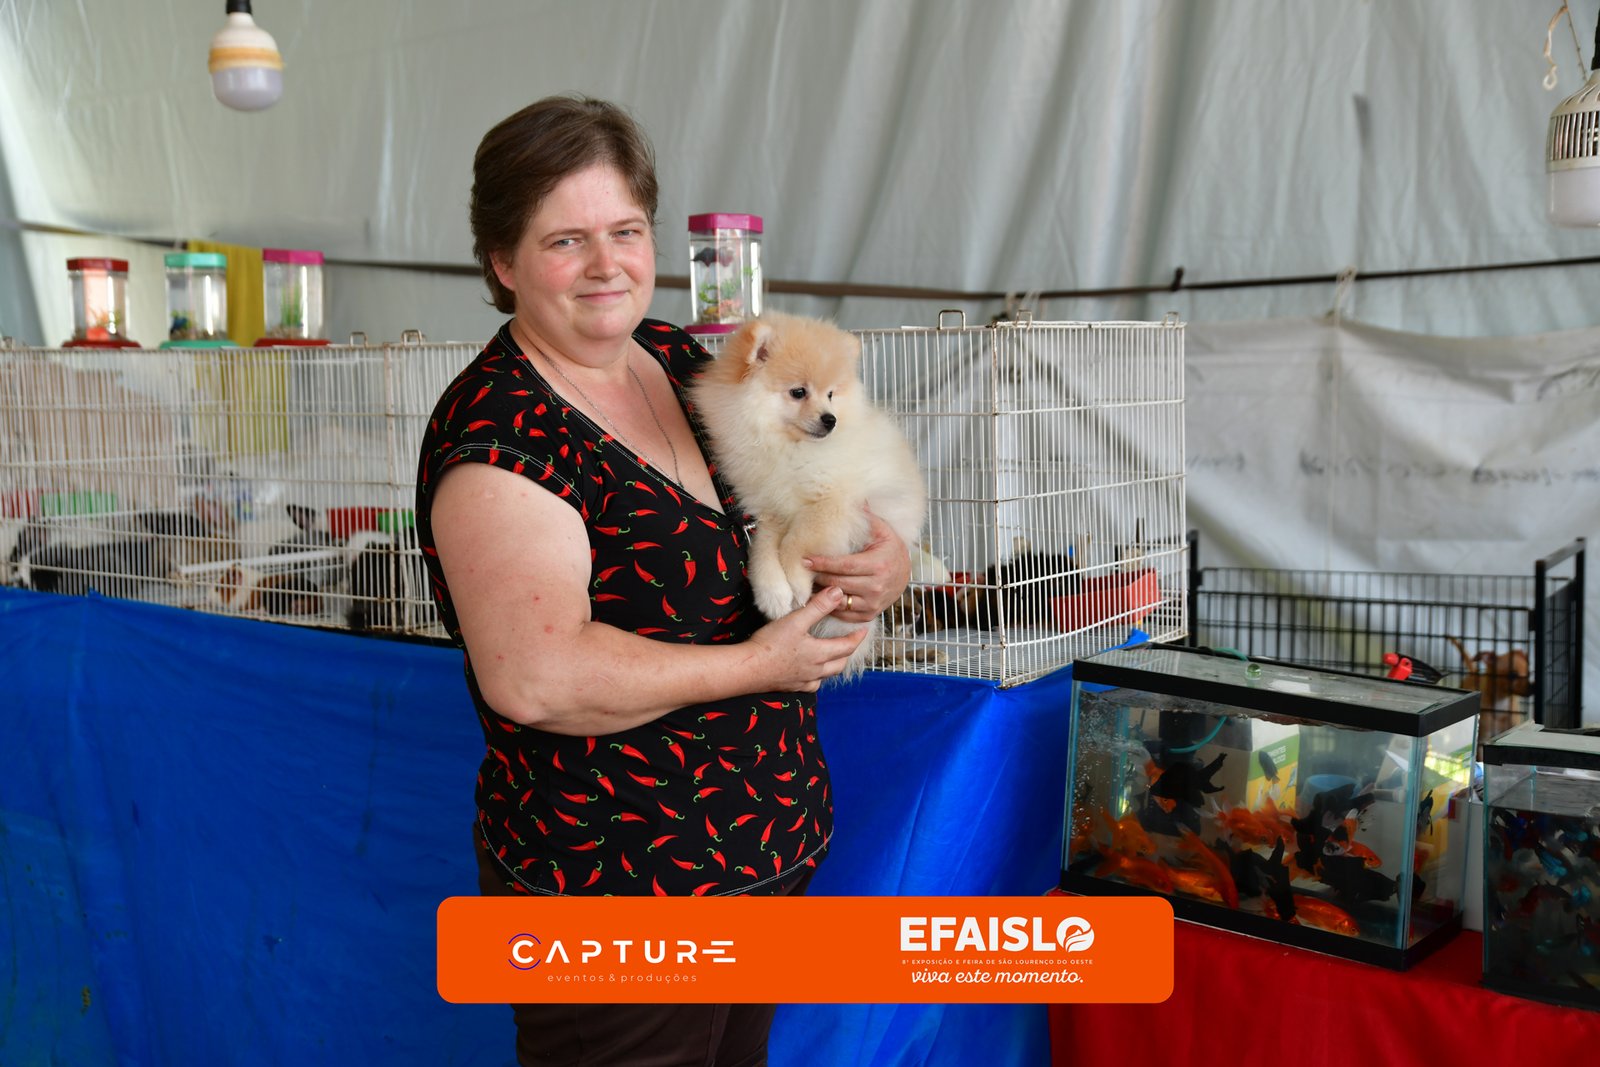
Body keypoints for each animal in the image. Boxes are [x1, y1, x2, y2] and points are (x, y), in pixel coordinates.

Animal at [690, 312, 925, 678]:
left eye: (830, 394)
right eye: (798, 392)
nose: (830, 420)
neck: (786, 449)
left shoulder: (831, 503)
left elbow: (795, 544)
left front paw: (797, 583)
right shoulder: (769, 510)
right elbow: (764, 552)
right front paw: (773, 593)